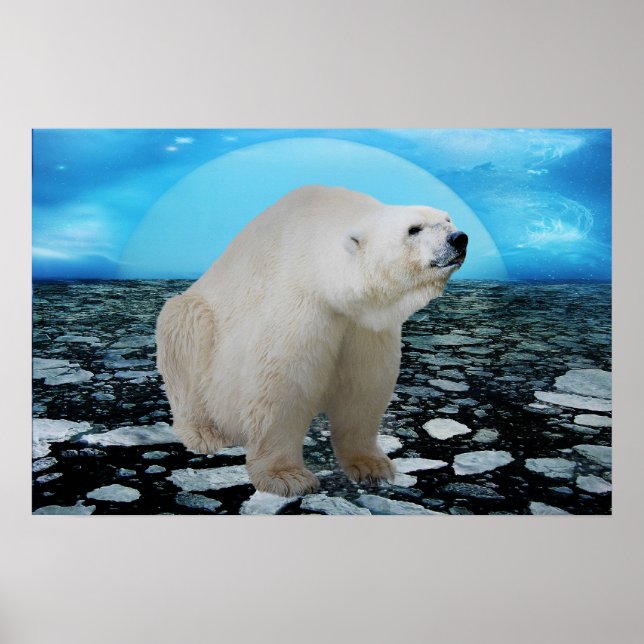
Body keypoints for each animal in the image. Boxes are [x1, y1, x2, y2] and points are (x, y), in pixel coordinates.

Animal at [156, 185, 467, 497]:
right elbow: (281, 386)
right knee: (187, 338)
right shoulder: (299, 302)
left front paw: (372, 467)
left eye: (448, 218)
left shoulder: (364, 326)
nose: (459, 238)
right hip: (197, 324)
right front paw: (287, 477)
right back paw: (204, 432)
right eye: (413, 229)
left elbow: (364, 387)